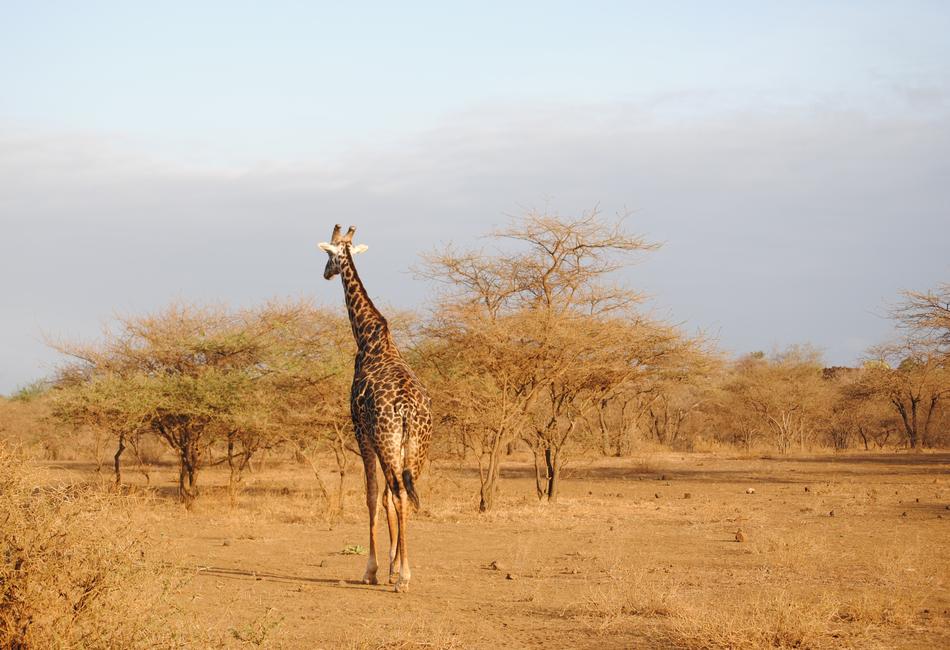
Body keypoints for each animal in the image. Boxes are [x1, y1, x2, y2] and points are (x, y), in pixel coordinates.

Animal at [318, 224, 432, 593]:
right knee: (404, 493)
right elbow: (384, 497)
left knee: (398, 493)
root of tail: (409, 411)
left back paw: (404, 577)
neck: (369, 338)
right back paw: (403, 571)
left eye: (329, 255)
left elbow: (370, 496)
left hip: (387, 440)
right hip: (416, 448)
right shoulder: (383, 442)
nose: (325, 273)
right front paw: (392, 565)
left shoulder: (360, 429)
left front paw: (373, 569)